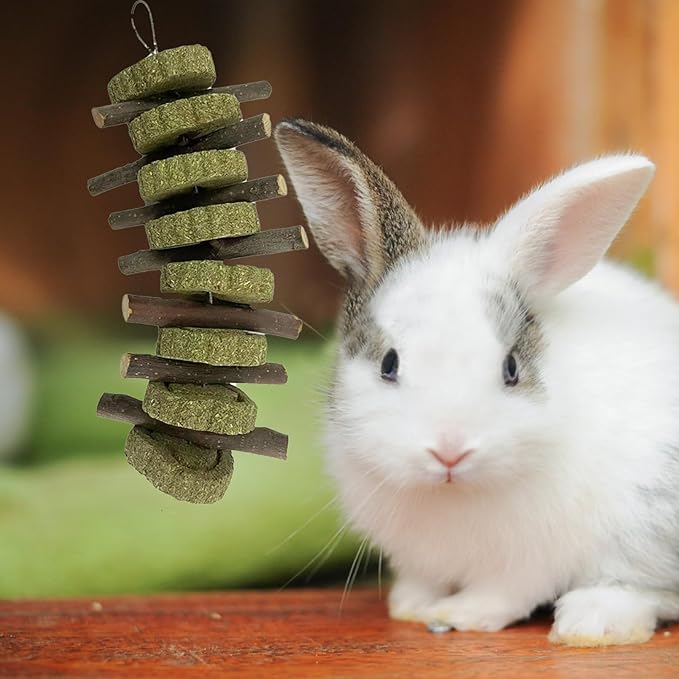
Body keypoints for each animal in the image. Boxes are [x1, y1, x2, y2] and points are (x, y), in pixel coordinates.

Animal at [275, 118, 679, 646]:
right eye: (389, 363)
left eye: (511, 369)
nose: (450, 451)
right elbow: (424, 580)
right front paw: (410, 607)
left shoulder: (528, 561)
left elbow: (503, 594)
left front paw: (462, 614)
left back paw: (591, 623)